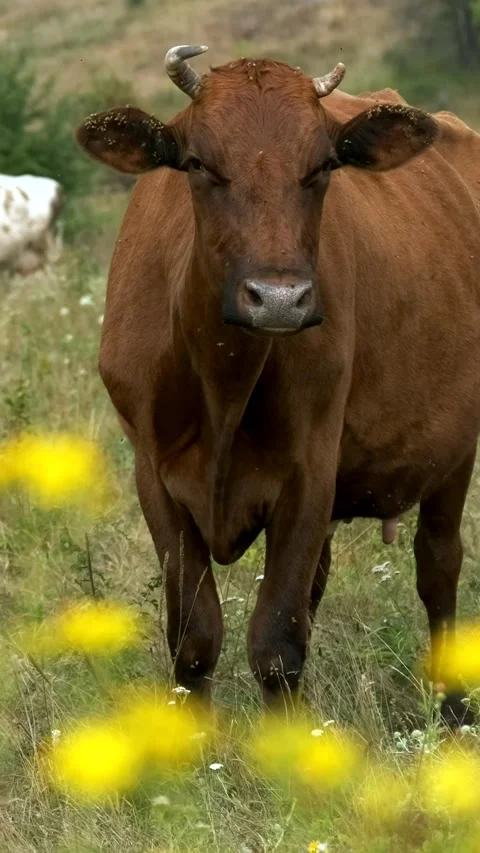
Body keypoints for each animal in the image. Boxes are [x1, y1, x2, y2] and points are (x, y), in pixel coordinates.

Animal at [76, 46, 480, 723]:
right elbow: (194, 638)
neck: (223, 383)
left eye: (323, 166)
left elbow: (276, 644)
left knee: (438, 567)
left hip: (454, 454)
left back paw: (452, 709)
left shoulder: (309, 472)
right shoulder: (153, 475)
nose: (280, 298)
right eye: (197, 163)